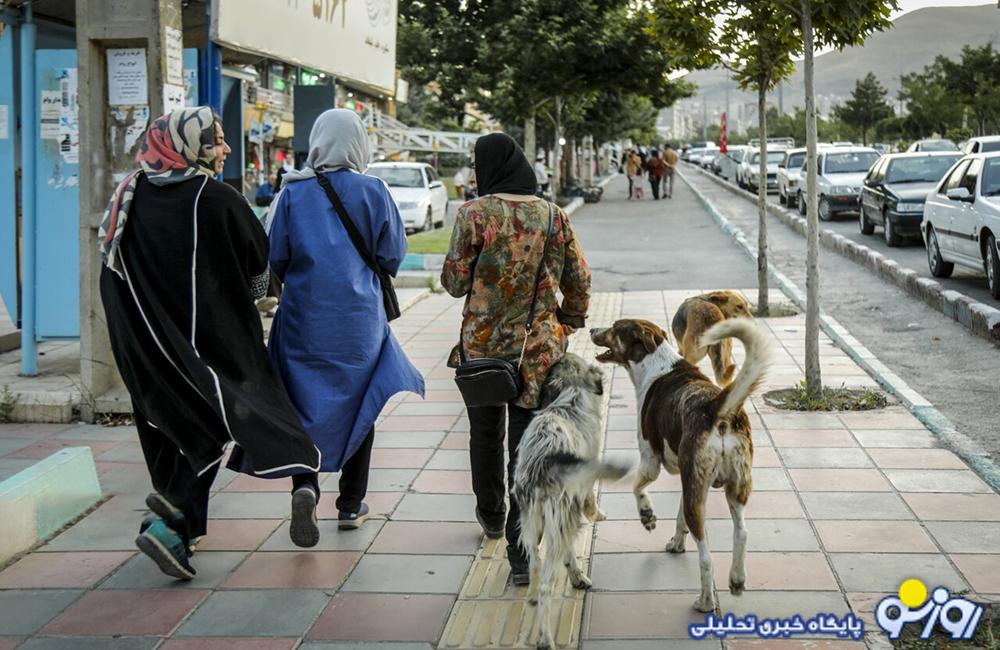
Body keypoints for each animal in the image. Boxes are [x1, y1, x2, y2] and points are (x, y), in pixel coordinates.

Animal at [588, 316, 768, 612]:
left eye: (615, 327)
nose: (591, 328)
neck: (654, 362)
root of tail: (716, 407)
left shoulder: (651, 460)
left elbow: (637, 487)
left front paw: (647, 516)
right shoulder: (688, 478)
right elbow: (679, 514)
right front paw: (676, 542)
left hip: (699, 489)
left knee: (706, 557)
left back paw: (706, 601)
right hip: (731, 485)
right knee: (741, 532)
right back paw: (737, 579)